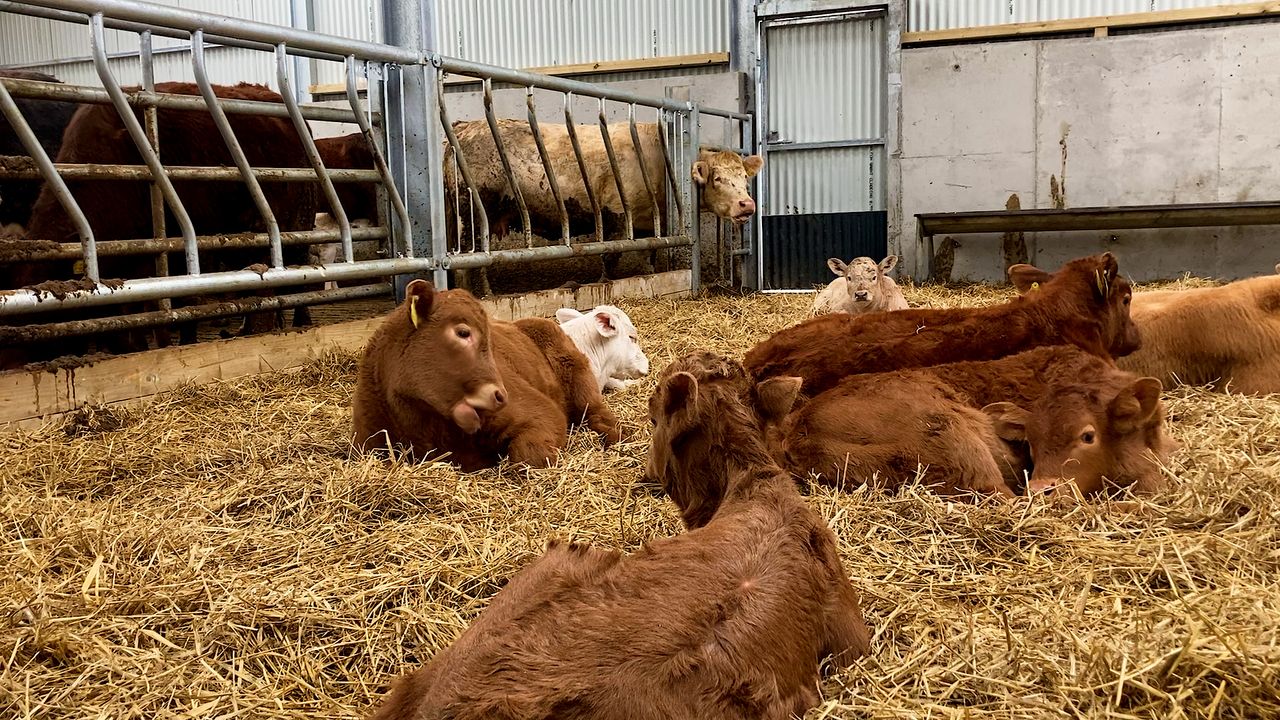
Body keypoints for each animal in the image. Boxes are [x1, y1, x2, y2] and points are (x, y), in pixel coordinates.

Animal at [351, 279, 621, 471]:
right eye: (463, 332)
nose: (501, 396)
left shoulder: (542, 412)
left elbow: (530, 457)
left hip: (579, 379)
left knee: (597, 413)